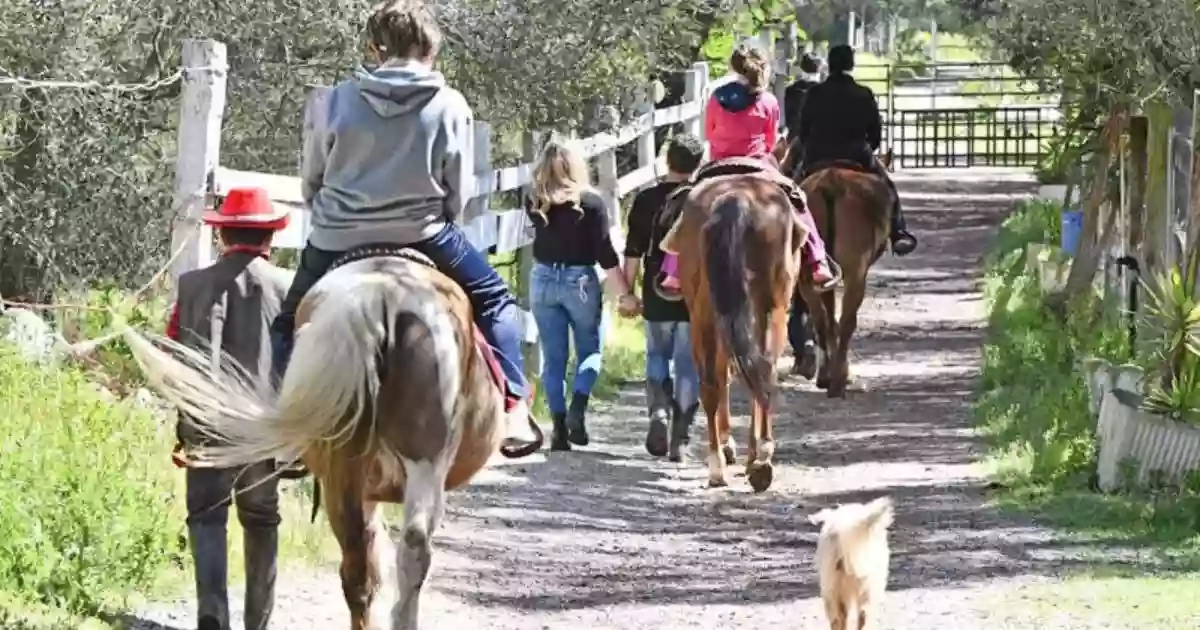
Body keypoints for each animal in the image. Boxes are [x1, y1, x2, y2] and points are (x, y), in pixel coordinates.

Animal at [667, 166, 806, 492]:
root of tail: (736, 200)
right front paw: (750, 453)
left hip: (706, 312)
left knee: (716, 381)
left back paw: (726, 465)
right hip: (771, 309)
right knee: (761, 371)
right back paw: (757, 460)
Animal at [782, 144, 897, 396]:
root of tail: (830, 184)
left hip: (809, 275)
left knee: (822, 320)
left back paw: (825, 376)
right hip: (855, 273)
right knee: (846, 321)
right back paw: (839, 380)